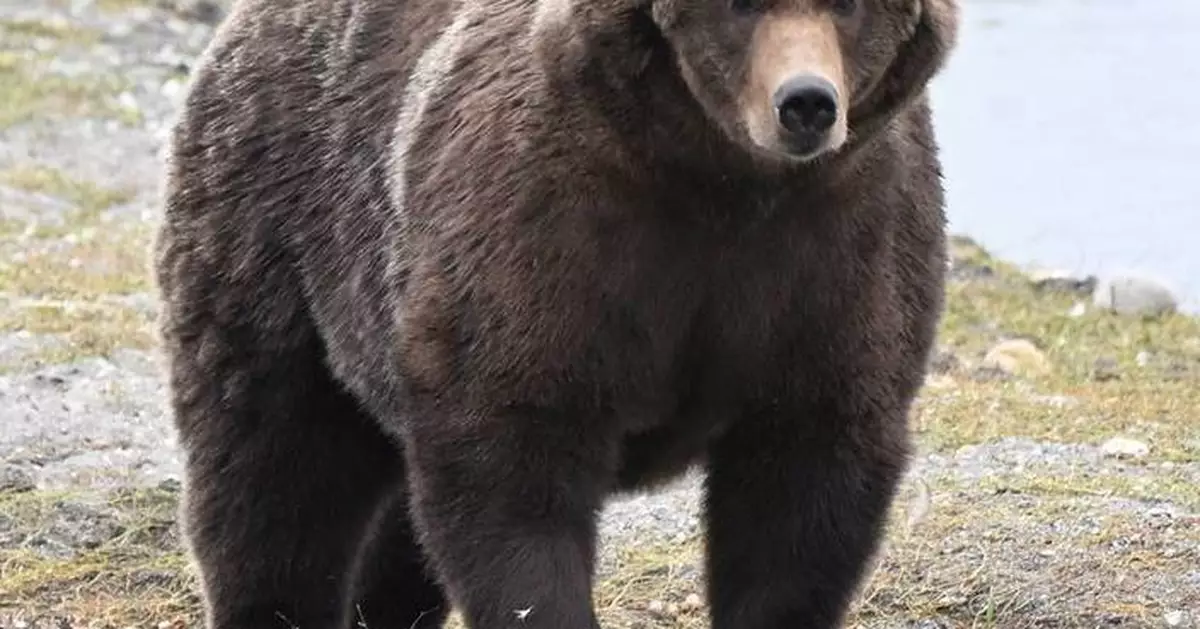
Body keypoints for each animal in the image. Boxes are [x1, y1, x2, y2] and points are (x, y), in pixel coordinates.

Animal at [151, 0, 959, 626]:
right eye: (738, 5)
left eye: (849, 6)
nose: (806, 103)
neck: (724, 183)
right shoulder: (549, 233)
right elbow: (514, 468)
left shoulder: (837, 258)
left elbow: (803, 487)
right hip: (283, 238)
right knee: (274, 468)